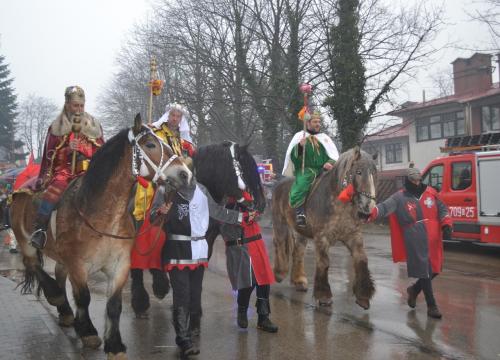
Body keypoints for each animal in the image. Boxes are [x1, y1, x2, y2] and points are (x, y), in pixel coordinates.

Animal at [10, 115, 193, 360]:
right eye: (150, 144)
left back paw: (65, 313)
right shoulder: (78, 265)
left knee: (58, 273)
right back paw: (57, 298)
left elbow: (114, 305)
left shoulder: (119, 265)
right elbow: (84, 297)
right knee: (34, 265)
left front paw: (114, 345)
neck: (101, 215)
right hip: (26, 242)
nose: (185, 174)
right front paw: (88, 332)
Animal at [274, 146, 376, 310]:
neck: (340, 204)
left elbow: (362, 259)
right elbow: (324, 262)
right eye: (359, 172)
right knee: (280, 245)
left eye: (373, 172)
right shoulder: (322, 237)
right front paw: (323, 296)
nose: (368, 207)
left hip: (301, 233)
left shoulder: (353, 236)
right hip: (280, 224)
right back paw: (279, 273)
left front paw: (363, 296)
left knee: (298, 253)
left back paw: (299, 281)